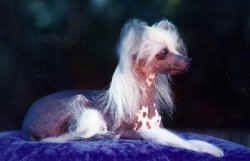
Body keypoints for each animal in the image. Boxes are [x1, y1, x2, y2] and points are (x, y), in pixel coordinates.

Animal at [22, 18, 224, 157]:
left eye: (175, 49)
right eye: (163, 53)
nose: (188, 61)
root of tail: (26, 126)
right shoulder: (131, 132)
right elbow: (171, 139)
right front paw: (206, 148)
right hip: (79, 103)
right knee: (78, 135)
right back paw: (103, 136)